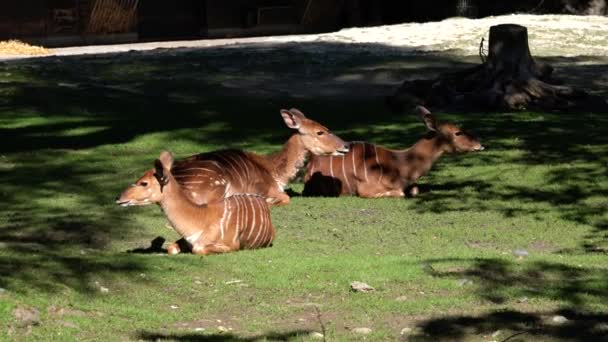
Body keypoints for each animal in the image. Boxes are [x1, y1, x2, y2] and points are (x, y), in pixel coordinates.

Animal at [114, 152, 276, 254]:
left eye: (144, 183)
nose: (118, 197)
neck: (200, 218)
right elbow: (171, 248)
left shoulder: (230, 245)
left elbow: (198, 249)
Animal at [302, 106, 484, 198]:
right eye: (458, 132)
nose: (480, 145)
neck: (401, 165)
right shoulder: (366, 190)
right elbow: (401, 193)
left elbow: (415, 190)